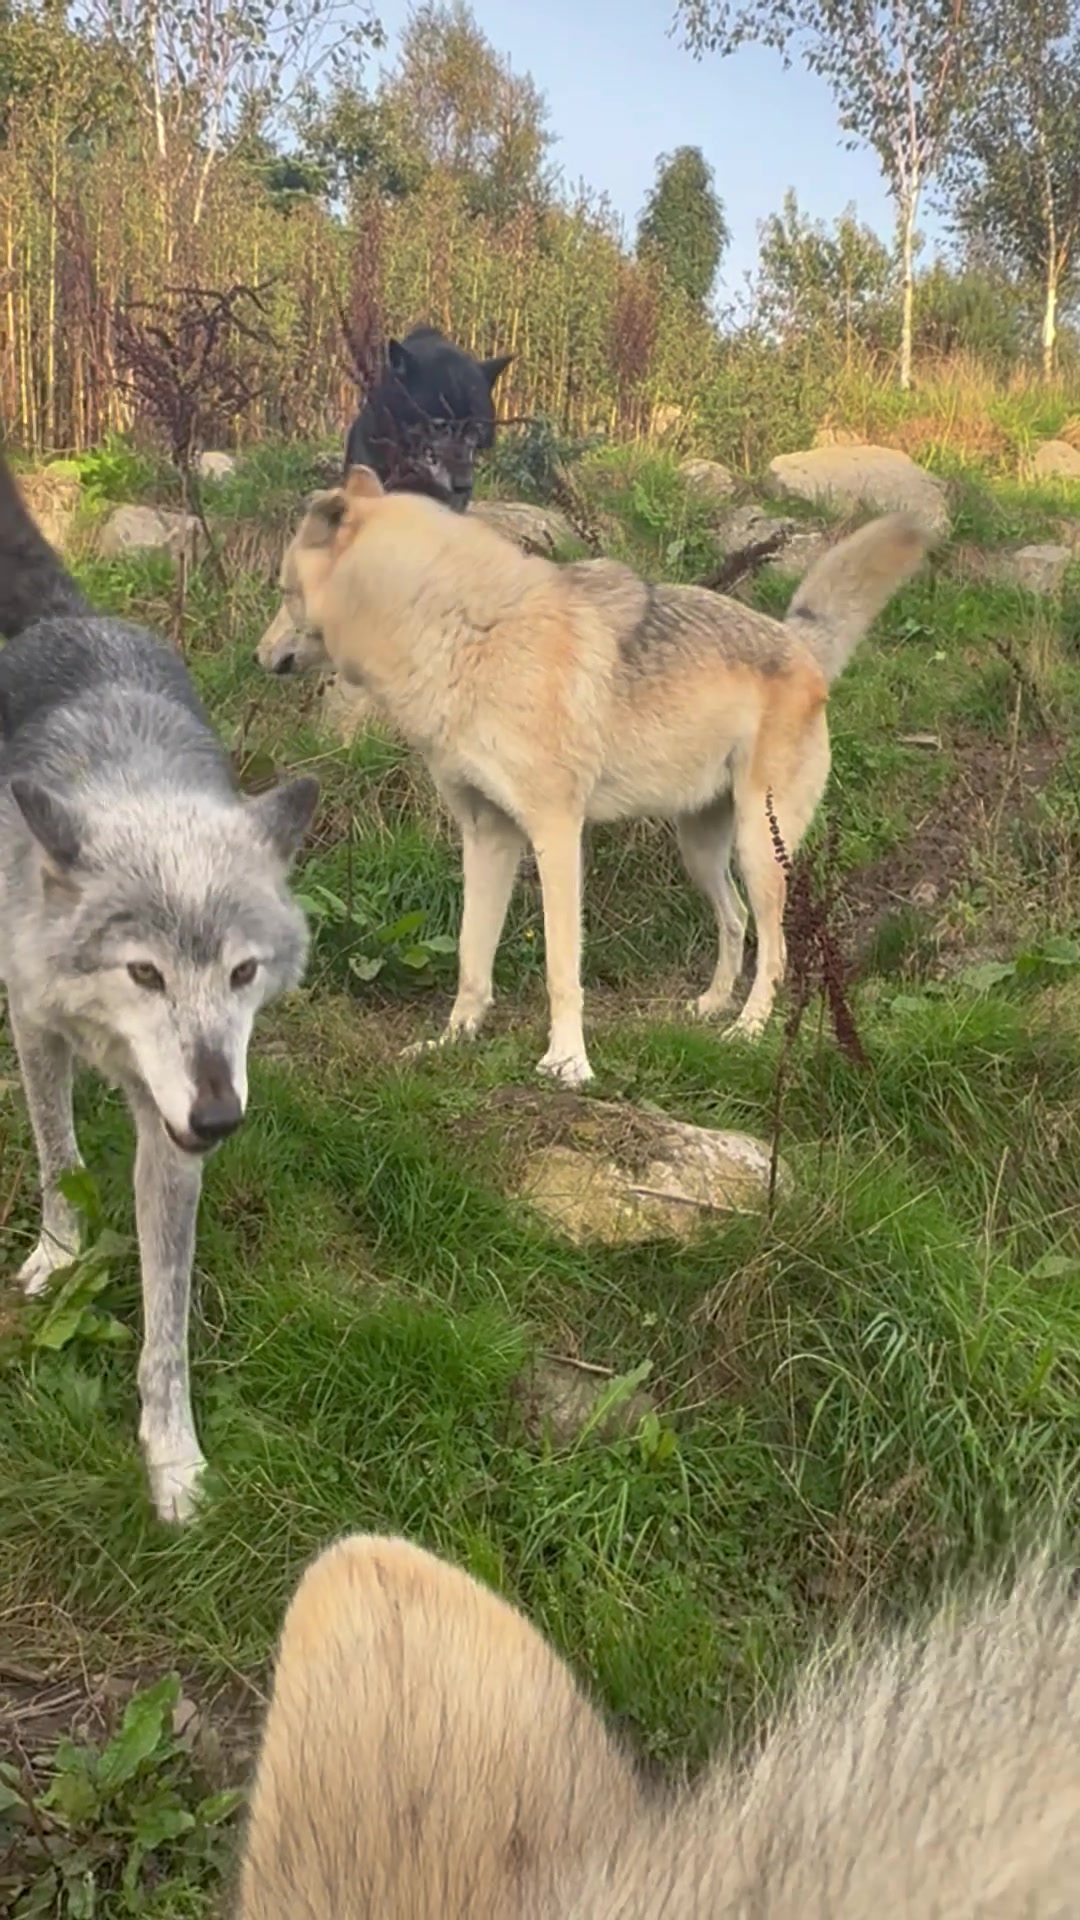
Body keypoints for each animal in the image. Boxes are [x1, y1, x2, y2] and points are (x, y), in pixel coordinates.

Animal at [0, 452, 318, 1524]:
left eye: (242, 974)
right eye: (144, 971)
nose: (221, 1118)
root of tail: (75, 616)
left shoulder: (170, 1137)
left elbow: (166, 1321)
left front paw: (172, 1460)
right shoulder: (33, 1025)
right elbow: (56, 1155)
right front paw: (57, 1256)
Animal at [270, 467, 928, 1087]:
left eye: (283, 591)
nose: (259, 655)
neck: (461, 631)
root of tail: (799, 641)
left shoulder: (558, 835)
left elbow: (562, 967)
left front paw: (568, 1063)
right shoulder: (487, 837)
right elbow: (470, 956)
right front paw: (452, 1040)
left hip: (758, 849)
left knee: (776, 948)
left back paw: (747, 1028)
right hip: (702, 852)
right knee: (736, 920)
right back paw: (712, 1005)